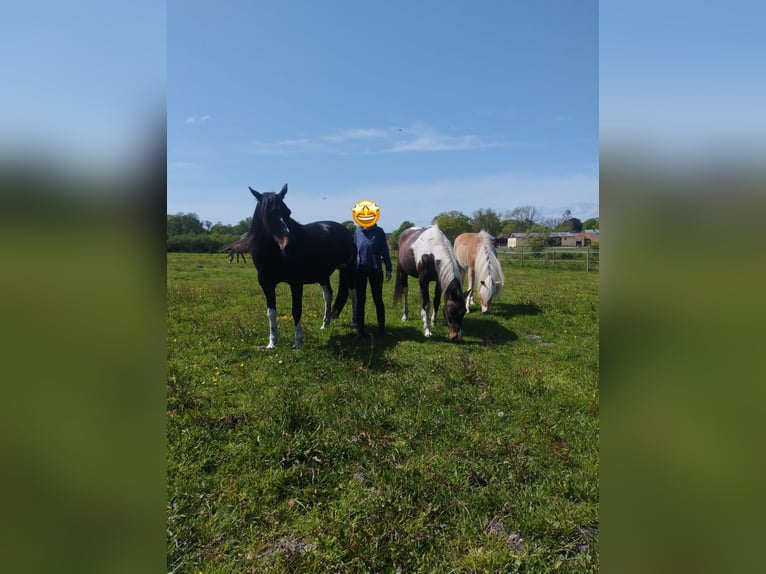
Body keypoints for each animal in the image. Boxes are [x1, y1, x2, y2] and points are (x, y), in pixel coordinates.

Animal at [246, 184, 357, 349]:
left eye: (288, 212)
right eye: (269, 214)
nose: (290, 245)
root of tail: (345, 230)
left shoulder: (296, 283)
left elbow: (296, 310)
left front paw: (297, 342)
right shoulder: (266, 284)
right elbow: (271, 313)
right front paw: (272, 342)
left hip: (348, 271)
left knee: (352, 294)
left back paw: (355, 323)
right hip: (322, 275)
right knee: (328, 295)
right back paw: (325, 324)